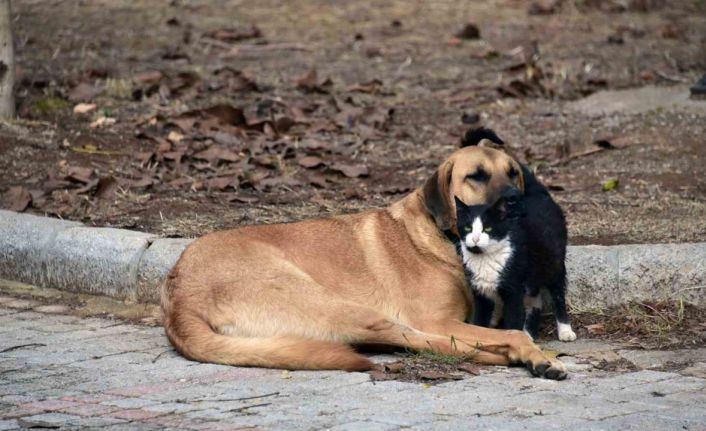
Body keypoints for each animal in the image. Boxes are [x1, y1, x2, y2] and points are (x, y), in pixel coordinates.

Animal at [161, 146, 568, 382]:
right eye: (477, 176)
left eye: (513, 172)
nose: (516, 200)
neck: (442, 235)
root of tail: (178, 297)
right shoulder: (437, 319)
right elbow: (509, 331)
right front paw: (534, 353)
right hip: (349, 308)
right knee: (425, 341)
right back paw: (511, 356)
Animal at [454, 126, 576, 342]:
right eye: (467, 228)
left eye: (487, 228)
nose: (475, 239)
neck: (485, 259)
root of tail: (537, 194)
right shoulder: (480, 295)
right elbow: (480, 321)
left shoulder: (513, 291)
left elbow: (513, 320)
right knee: (534, 302)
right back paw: (529, 334)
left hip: (553, 262)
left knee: (557, 294)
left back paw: (565, 330)